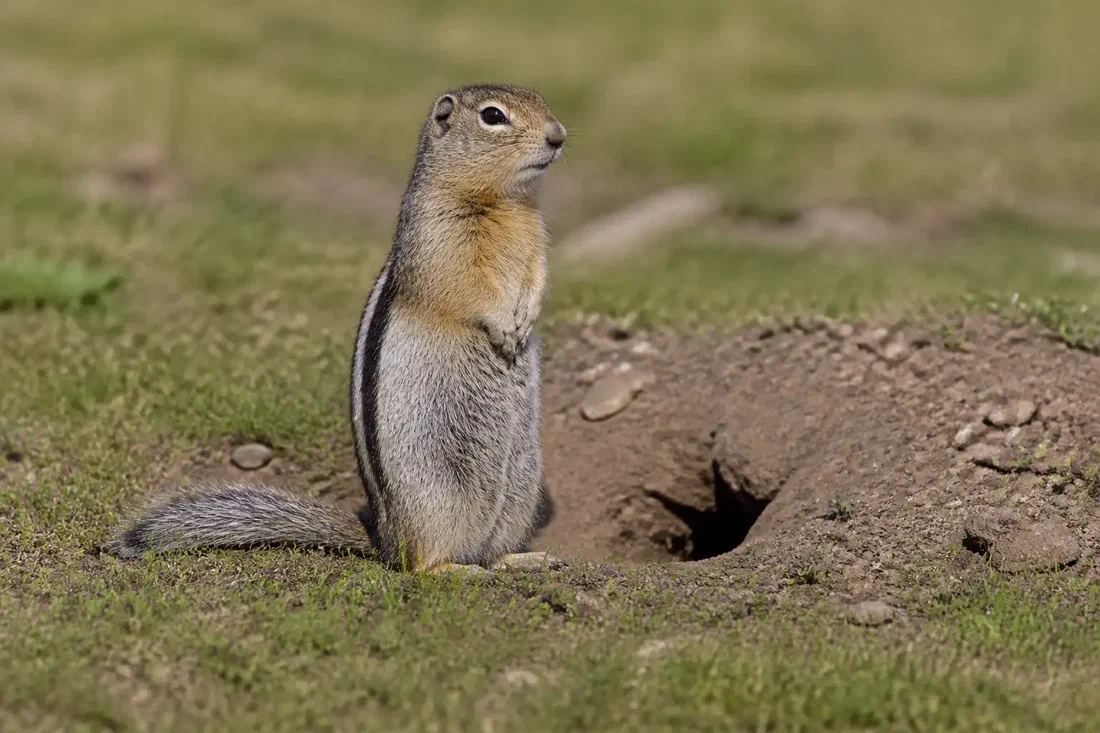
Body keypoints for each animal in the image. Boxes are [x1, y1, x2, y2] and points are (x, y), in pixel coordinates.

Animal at [103, 84, 568, 573]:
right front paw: (504, 327)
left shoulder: (536, 243)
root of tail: (384, 540)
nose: (558, 136)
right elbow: (468, 289)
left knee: (493, 553)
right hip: (438, 502)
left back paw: (527, 559)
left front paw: (525, 319)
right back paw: (457, 569)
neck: (503, 199)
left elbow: (537, 278)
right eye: (493, 116)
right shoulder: (440, 243)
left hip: (518, 492)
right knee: (422, 566)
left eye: (539, 99)